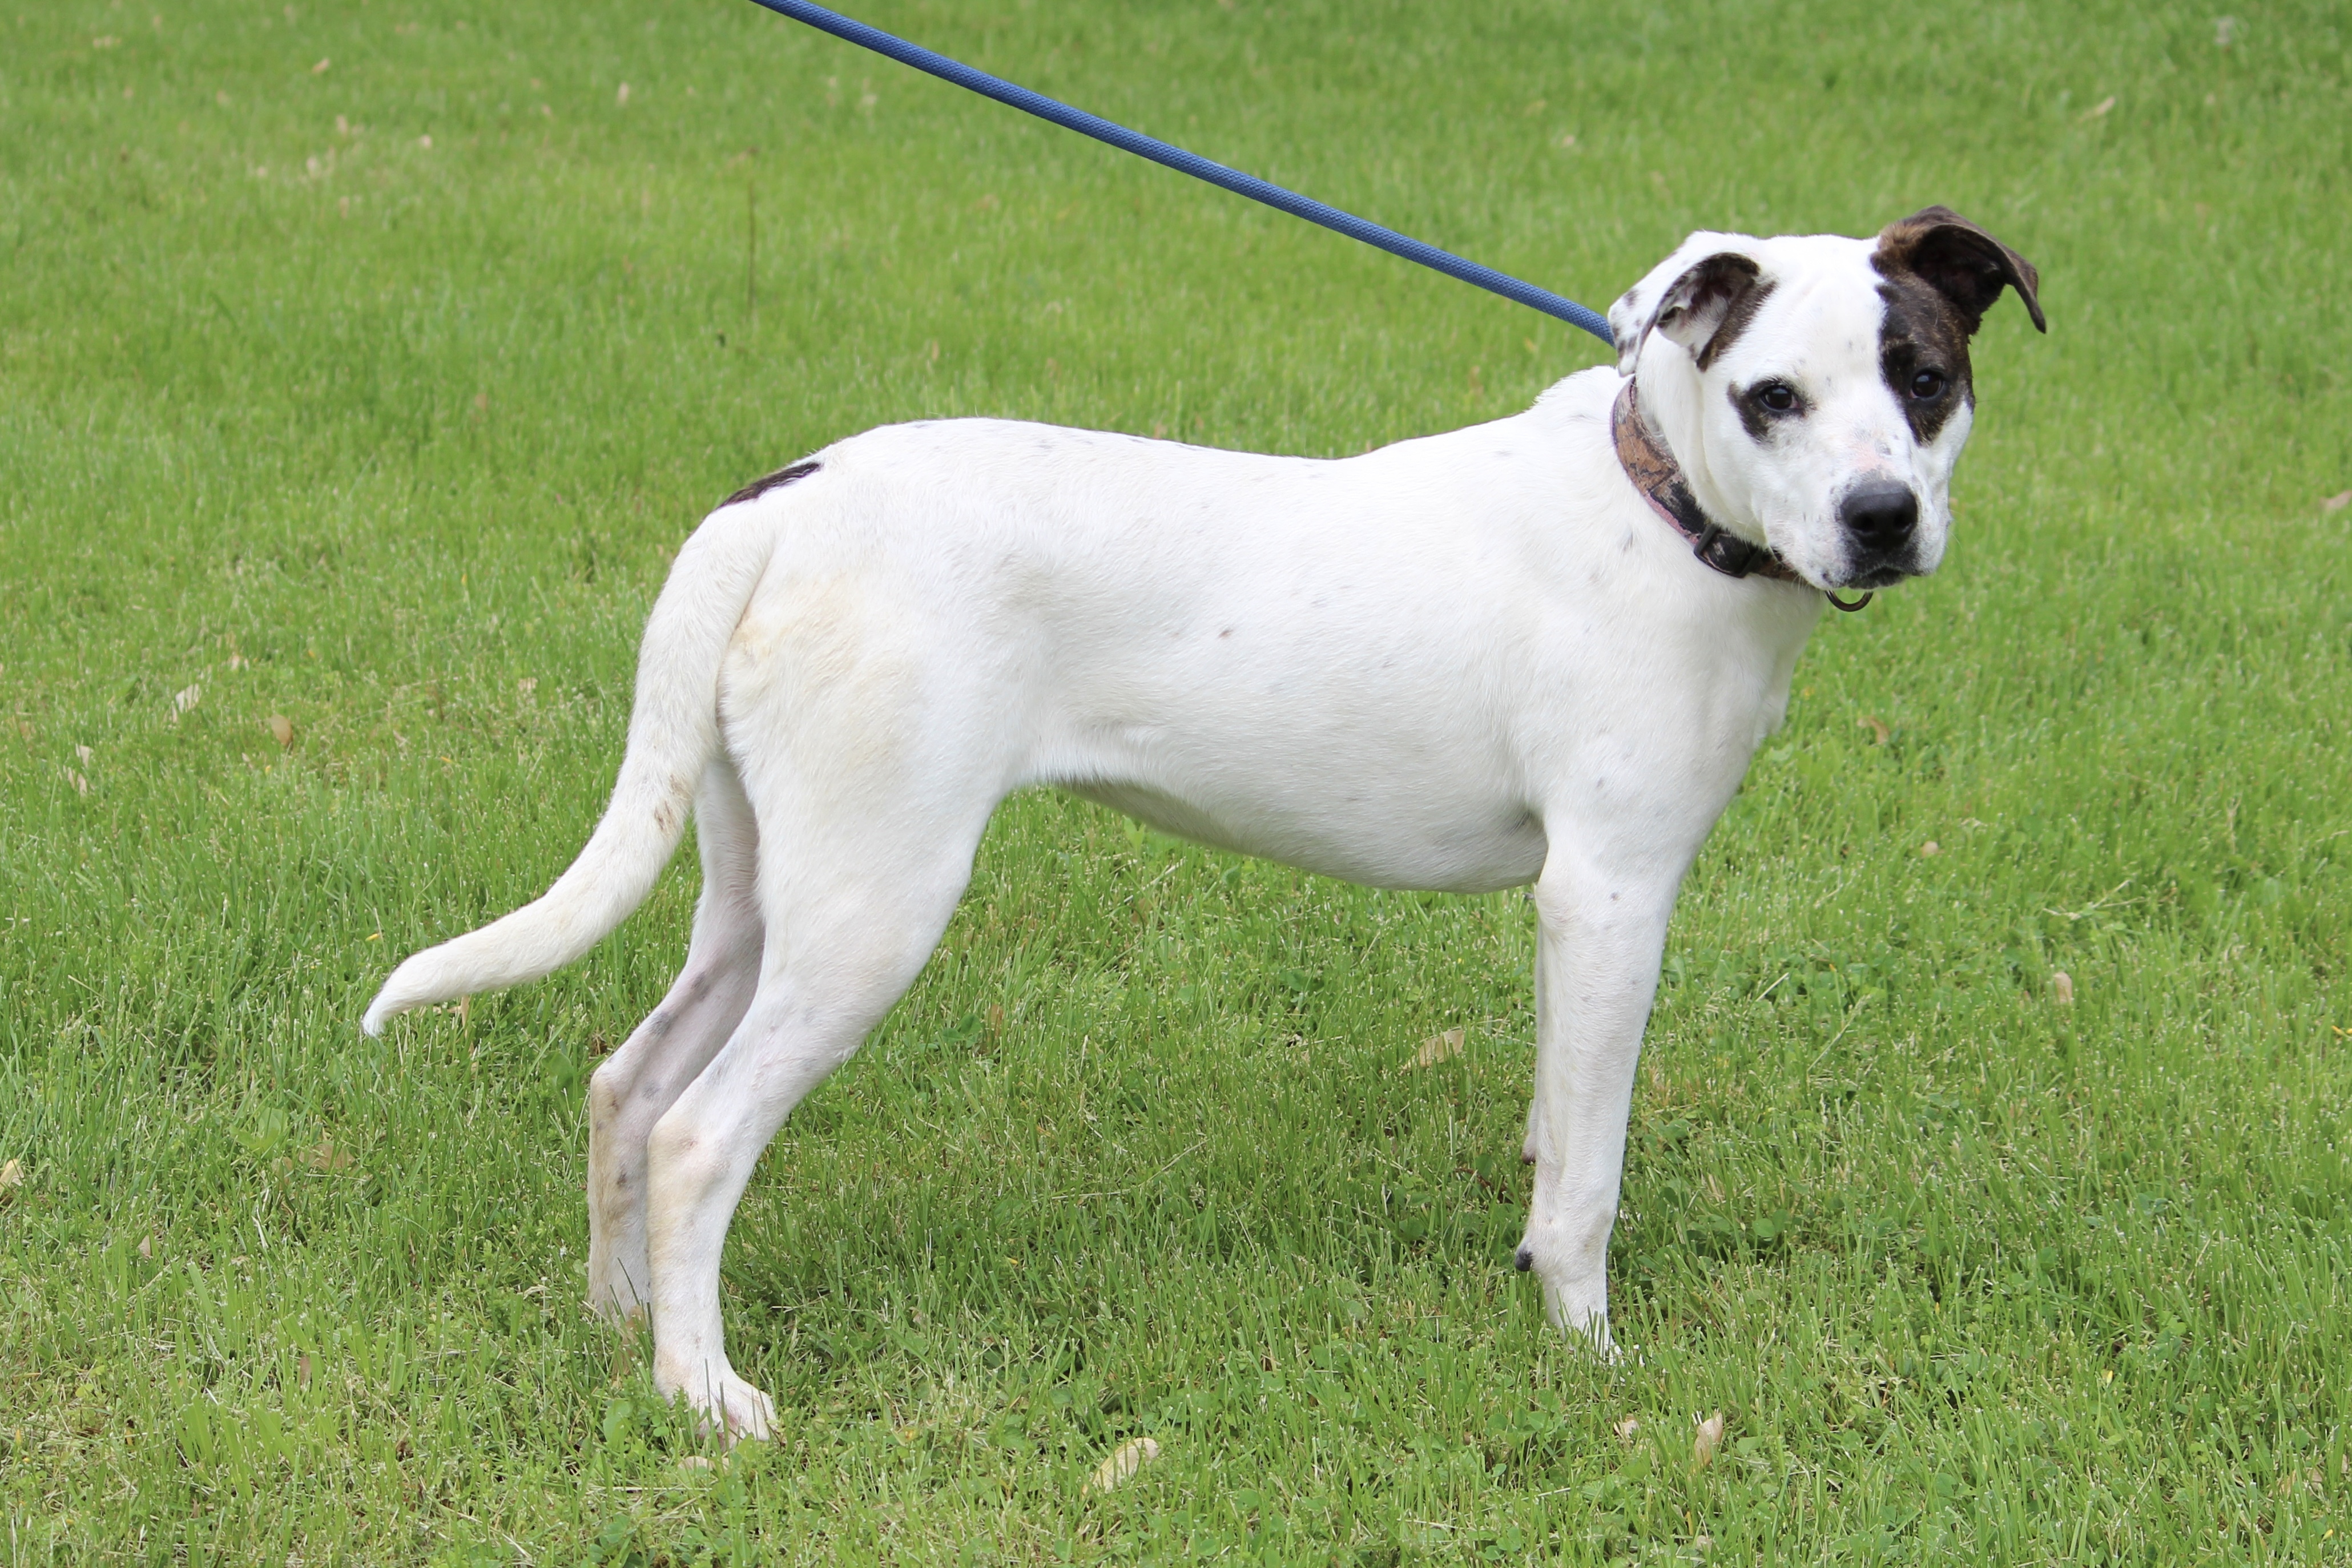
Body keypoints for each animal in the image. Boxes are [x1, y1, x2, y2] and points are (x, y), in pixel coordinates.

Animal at [362, 211, 2041, 1448]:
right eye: (1774, 398)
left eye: (1923, 375)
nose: (1884, 518)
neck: (1658, 506)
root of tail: (778, 502)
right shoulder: (1612, 895)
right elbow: (1587, 1183)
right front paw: (1590, 1366)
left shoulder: (1577, 925)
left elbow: (1553, 1132)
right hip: (871, 909)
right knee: (700, 1131)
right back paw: (708, 1397)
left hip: (764, 889)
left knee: (627, 1085)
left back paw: (624, 1323)